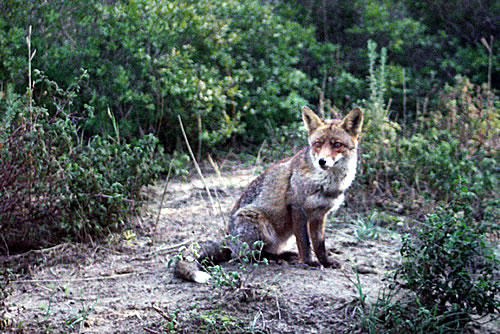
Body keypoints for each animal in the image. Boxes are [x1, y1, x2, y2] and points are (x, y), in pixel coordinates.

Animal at [176, 105, 364, 284]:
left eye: (337, 144)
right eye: (318, 143)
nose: (322, 161)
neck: (327, 184)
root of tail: (227, 239)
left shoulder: (319, 214)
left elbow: (319, 244)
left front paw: (325, 262)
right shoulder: (297, 208)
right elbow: (304, 242)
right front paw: (309, 262)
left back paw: (285, 255)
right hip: (257, 221)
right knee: (247, 256)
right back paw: (275, 259)